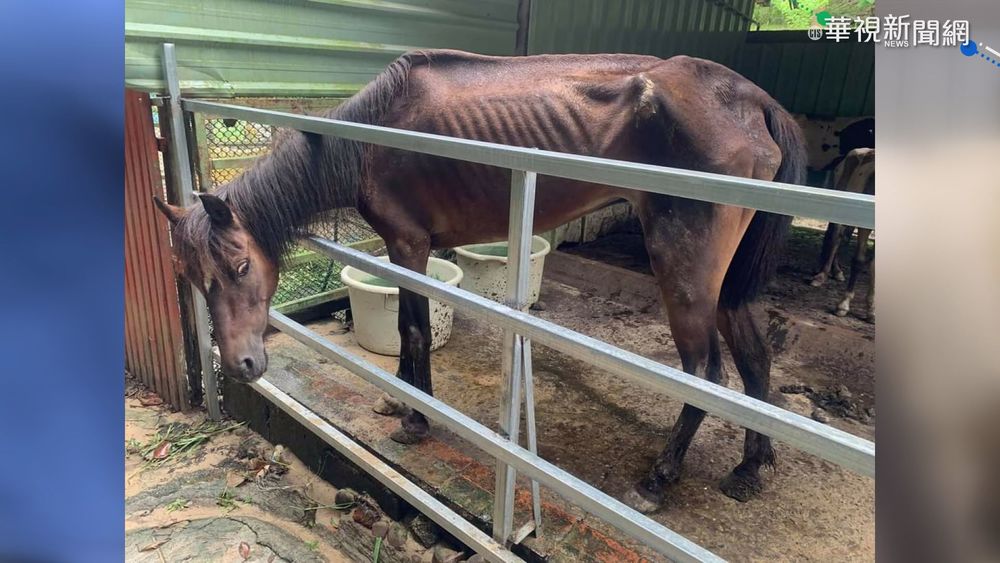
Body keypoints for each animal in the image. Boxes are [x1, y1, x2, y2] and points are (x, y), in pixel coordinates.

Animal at [153, 49, 806, 513]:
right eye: (192, 275)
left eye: (240, 267)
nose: (242, 365)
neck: (373, 139)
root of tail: (753, 100)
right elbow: (407, 329)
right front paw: (400, 400)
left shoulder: (409, 246)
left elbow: (414, 330)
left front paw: (416, 419)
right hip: (723, 281)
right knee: (754, 357)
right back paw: (750, 467)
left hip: (686, 271)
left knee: (707, 372)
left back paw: (658, 480)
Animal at [810, 148, 875, 321]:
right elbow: (858, 261)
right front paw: (843, 305)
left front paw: (871, 310)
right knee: (835, 237)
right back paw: (821, 276)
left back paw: (836, 272)